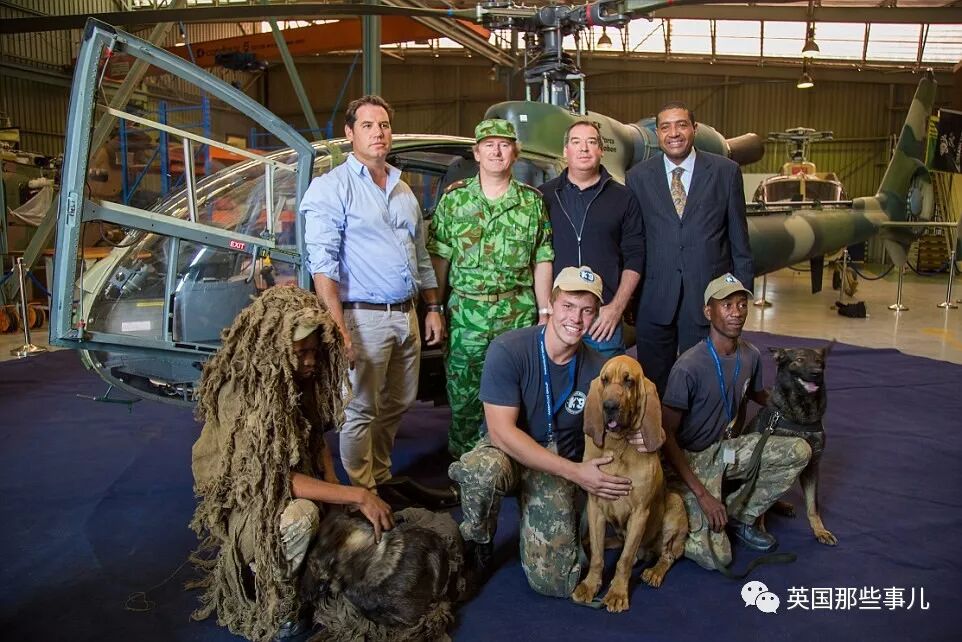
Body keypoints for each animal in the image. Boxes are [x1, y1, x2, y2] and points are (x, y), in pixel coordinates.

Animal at [571, 356, 688, 613]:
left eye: (629, 381)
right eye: (604, 380)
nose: (609, 406)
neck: (618, 446)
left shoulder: (640, 513)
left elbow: (623, 561)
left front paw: (616, 593)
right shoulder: (595, 507)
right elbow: (597, 557)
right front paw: (590, 585)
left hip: (674, 506)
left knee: (667, 555)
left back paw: (654, 572)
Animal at [749, 344, 836, 546]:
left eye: (819, 361)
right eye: (799, 360)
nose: (816, 372)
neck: (801, 416)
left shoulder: (812, 467)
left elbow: (813, 506)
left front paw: (820, 530)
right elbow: (760, 506)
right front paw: (759, 528)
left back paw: (782, 506)